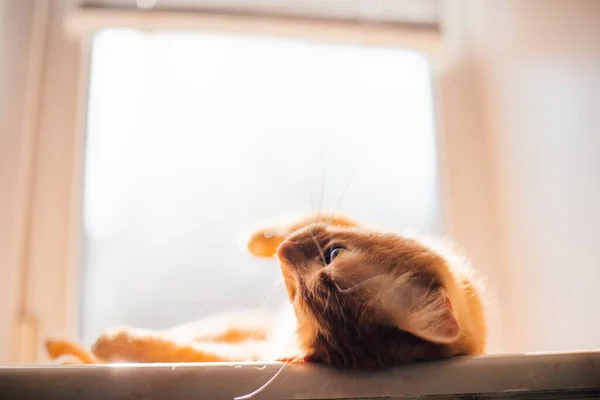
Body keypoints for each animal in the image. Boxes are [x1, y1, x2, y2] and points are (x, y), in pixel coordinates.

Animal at [47, 214, 488, 370]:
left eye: (299, 301)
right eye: (333, 253)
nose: (283, 252)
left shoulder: (252, 351)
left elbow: (174, 347)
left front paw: (114, 341)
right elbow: (321, 214)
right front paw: (262, 237)